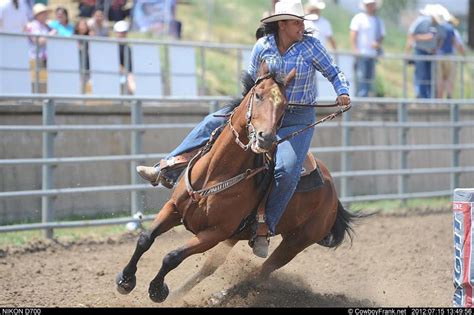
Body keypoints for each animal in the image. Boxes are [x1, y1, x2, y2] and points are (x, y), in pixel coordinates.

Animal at [115, 63, 360, 304]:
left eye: (284, 106)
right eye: (258, 95)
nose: (266, 138)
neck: (215, 173)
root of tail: (333, 194)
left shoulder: (215, 233)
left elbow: (172, 256)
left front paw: (157, 290)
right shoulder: (174, 209)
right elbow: (145, 239)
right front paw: (125, 281)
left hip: (296, 242)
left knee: (261, 272)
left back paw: (222, 295)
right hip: (237, 238)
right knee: (211, 267)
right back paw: (185, 295)